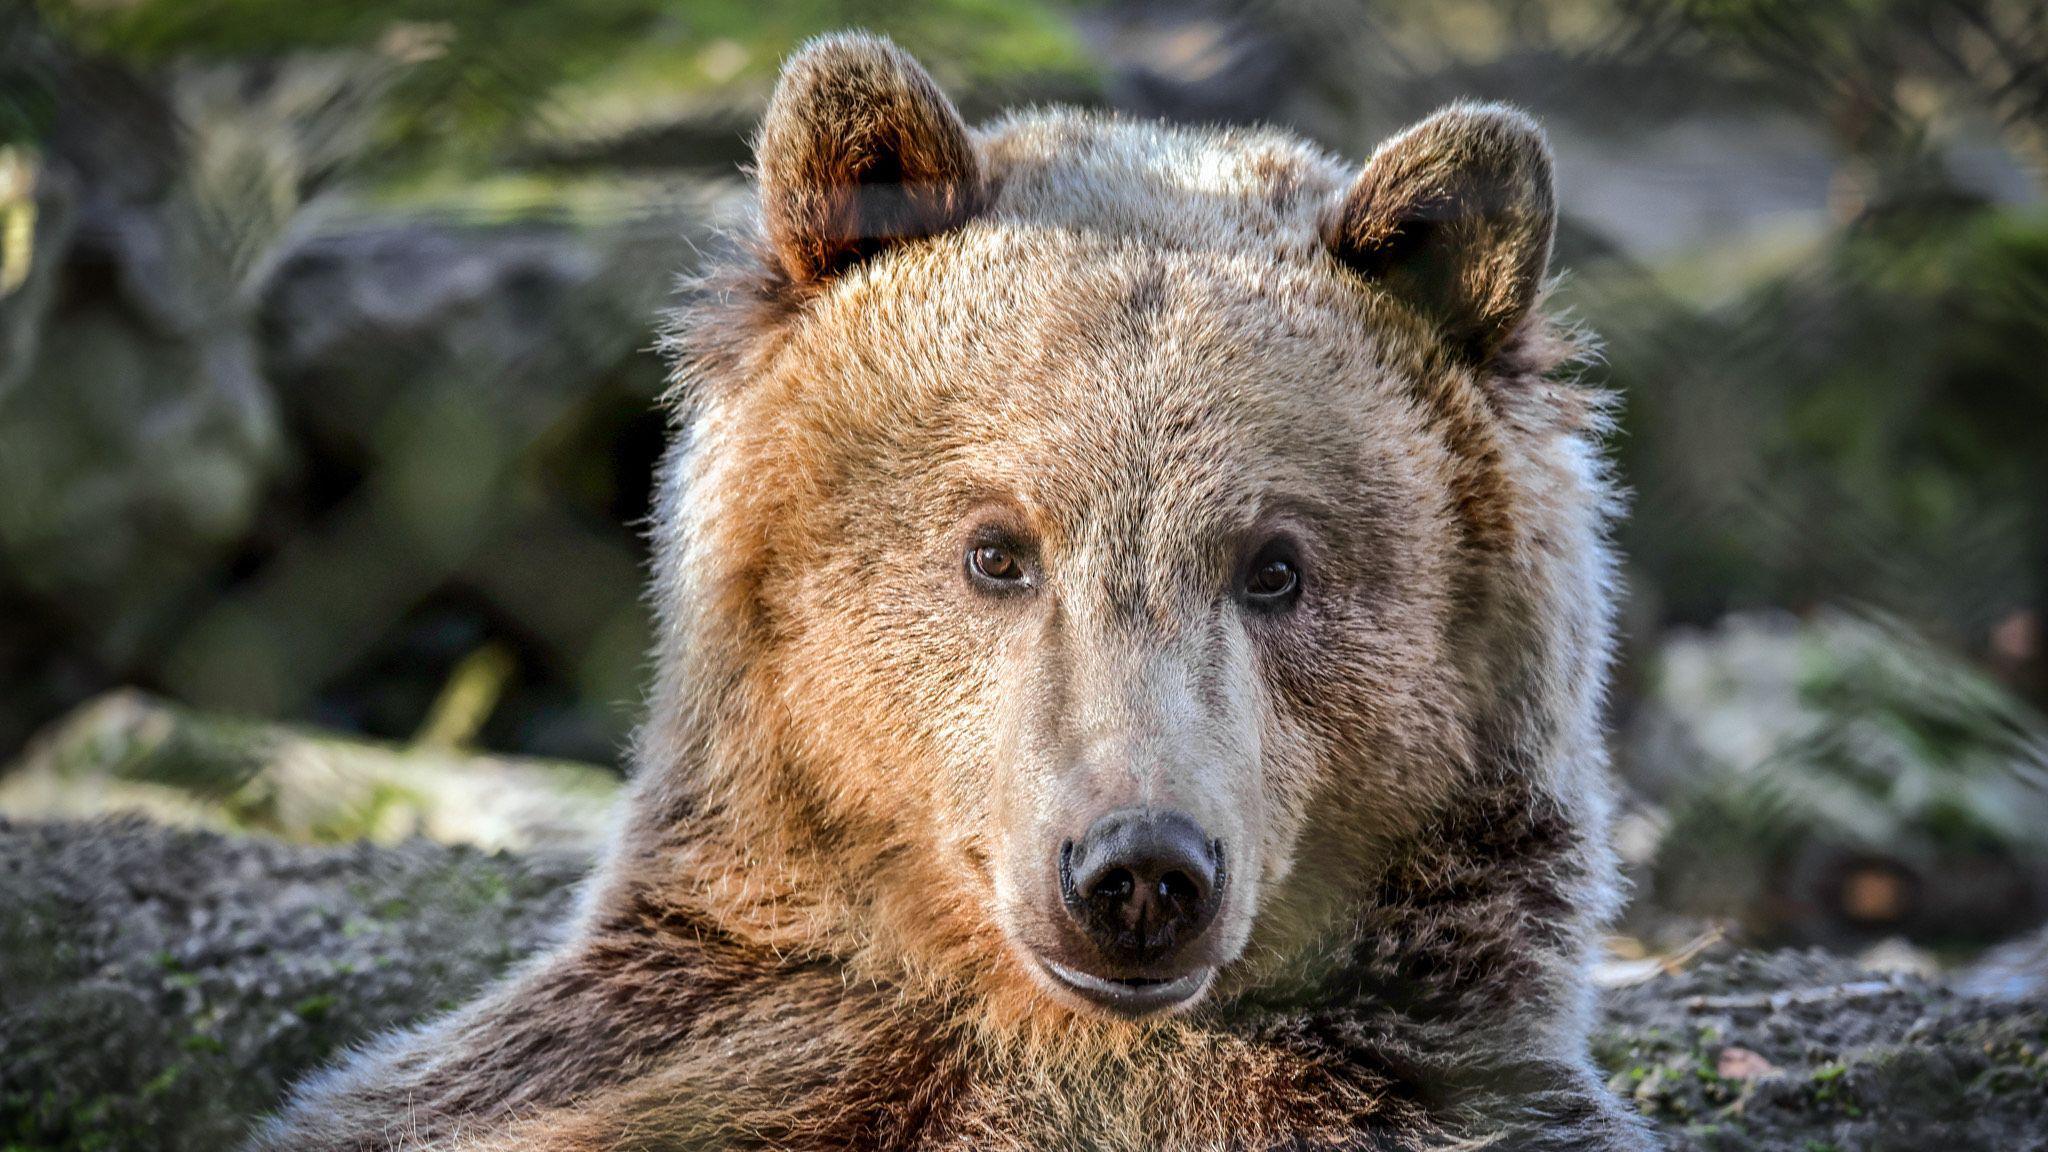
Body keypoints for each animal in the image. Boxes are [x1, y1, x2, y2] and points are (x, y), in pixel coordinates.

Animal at [251, 33, 1646, 1147]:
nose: (1139, 871)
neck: (1054, 1034)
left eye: (1274, 565)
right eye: (995, 549)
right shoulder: (677, 1055)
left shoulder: (1425, 1099)